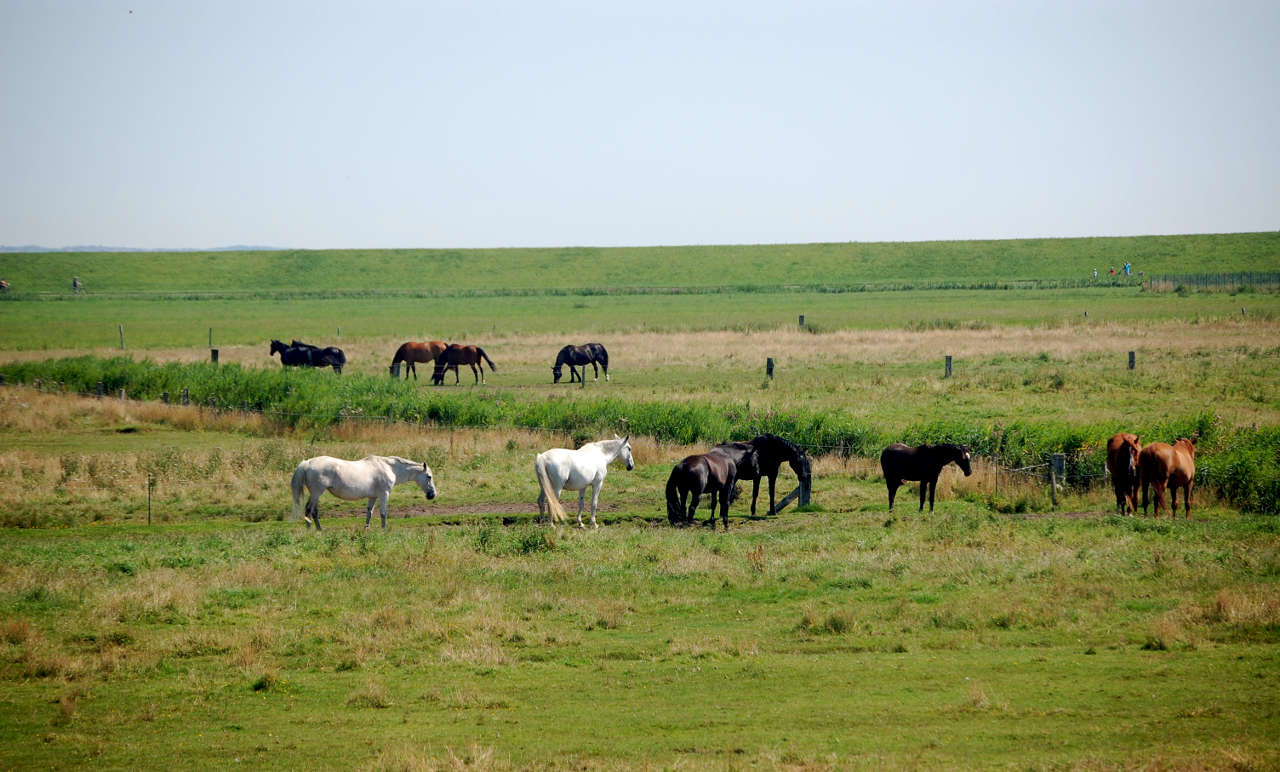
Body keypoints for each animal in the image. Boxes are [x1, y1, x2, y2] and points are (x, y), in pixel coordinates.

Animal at [289, 453, 437, 532]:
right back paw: (310, 530)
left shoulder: (373, 497)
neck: (390, 468)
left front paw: (367, 529)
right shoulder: (384, 494)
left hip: (317, 494)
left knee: (314, 511)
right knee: (309, 509)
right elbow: (383, 513)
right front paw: (384, 529)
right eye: (429, 476)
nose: (432, 495)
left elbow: (369, 513)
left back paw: (319, 530)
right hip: (316, 493)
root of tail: (307, 463)